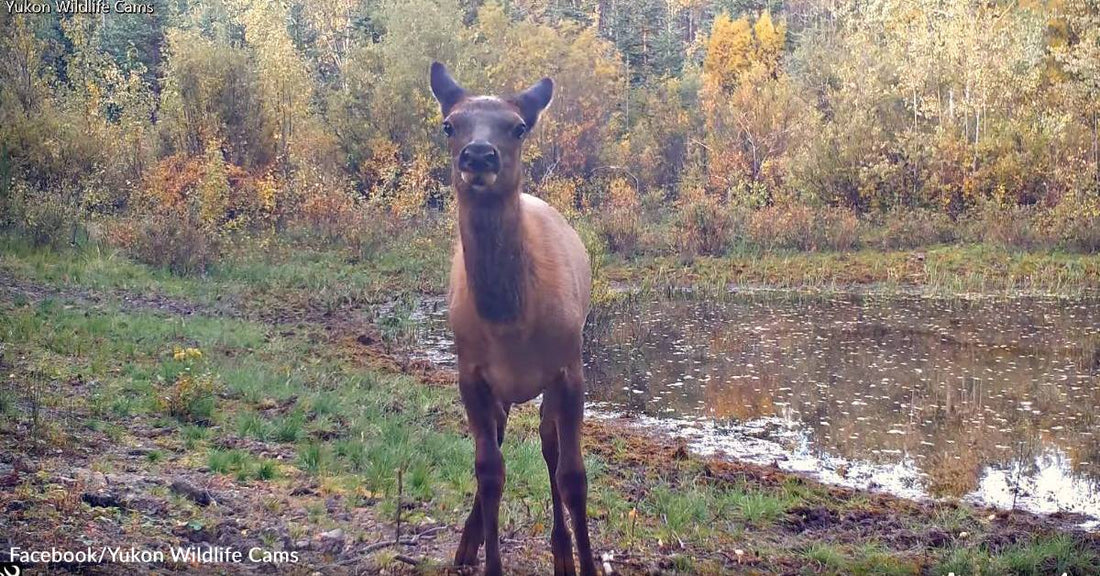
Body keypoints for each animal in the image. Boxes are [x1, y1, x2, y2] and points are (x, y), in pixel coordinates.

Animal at [426, 62, 598, 576]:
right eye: (450, 124)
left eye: (518, 127)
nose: (479, 154)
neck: (511, 323)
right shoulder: (471, 374)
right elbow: (488, 471)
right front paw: (489, 561)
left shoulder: (569, 368)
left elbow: (573, 475)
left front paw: (585, 561)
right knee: (499, 445)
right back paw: (467, 544)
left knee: (548, 446)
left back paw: (561, 552)